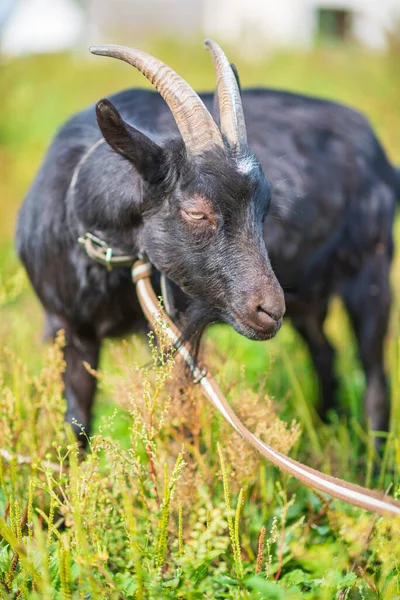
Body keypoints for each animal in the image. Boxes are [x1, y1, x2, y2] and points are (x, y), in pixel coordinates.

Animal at [15, 41, 396, 436]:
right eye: (197, 212)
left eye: (265, 208)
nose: (270, 310)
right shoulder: (68, 327)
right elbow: (76, 422)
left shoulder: (175, 330)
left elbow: (178, 422)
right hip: (310, 296)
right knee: (326, 354)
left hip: (371, 270)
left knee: (374, 377)